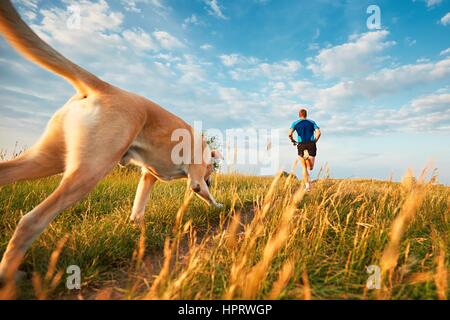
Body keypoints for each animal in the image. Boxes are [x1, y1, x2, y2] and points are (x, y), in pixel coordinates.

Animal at [0, 0, 223, 284]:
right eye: (210, 173)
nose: (211, 179)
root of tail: (104, 86)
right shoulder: (194, 179)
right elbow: (206, 195)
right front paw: (219, 204)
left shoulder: (148, 176)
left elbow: (138, 207)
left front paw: (138, 228)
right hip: (90, 170)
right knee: (32, 220)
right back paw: (9, 273)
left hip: (45, 159)